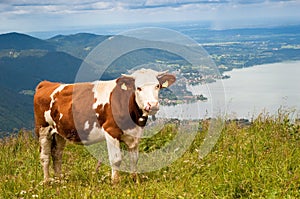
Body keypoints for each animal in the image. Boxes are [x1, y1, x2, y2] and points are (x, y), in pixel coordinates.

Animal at [33, 68, 176, 183]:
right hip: (43, 128)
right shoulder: (110, 131)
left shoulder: (135, 133)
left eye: (157, 86)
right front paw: (115, 183)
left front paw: (134, 180)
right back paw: (47, 182)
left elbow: (134, 159)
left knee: (57, 154)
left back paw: (59, 180)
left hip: (59, 132)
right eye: (138, 88)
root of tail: (46, 83)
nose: (152, 105)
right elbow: (116, 159)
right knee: (45, 156)